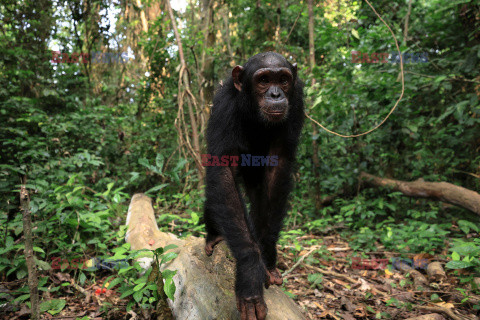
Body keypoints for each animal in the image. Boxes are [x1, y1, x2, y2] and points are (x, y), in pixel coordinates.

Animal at [203, 51, 304, 318]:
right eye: (264, 80)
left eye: (283, 80)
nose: (276, 94)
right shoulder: (224, 105)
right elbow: (223, 171)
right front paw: (250, 270)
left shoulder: (297, 100)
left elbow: (278, 165)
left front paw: (267, 255)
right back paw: (214, 235)